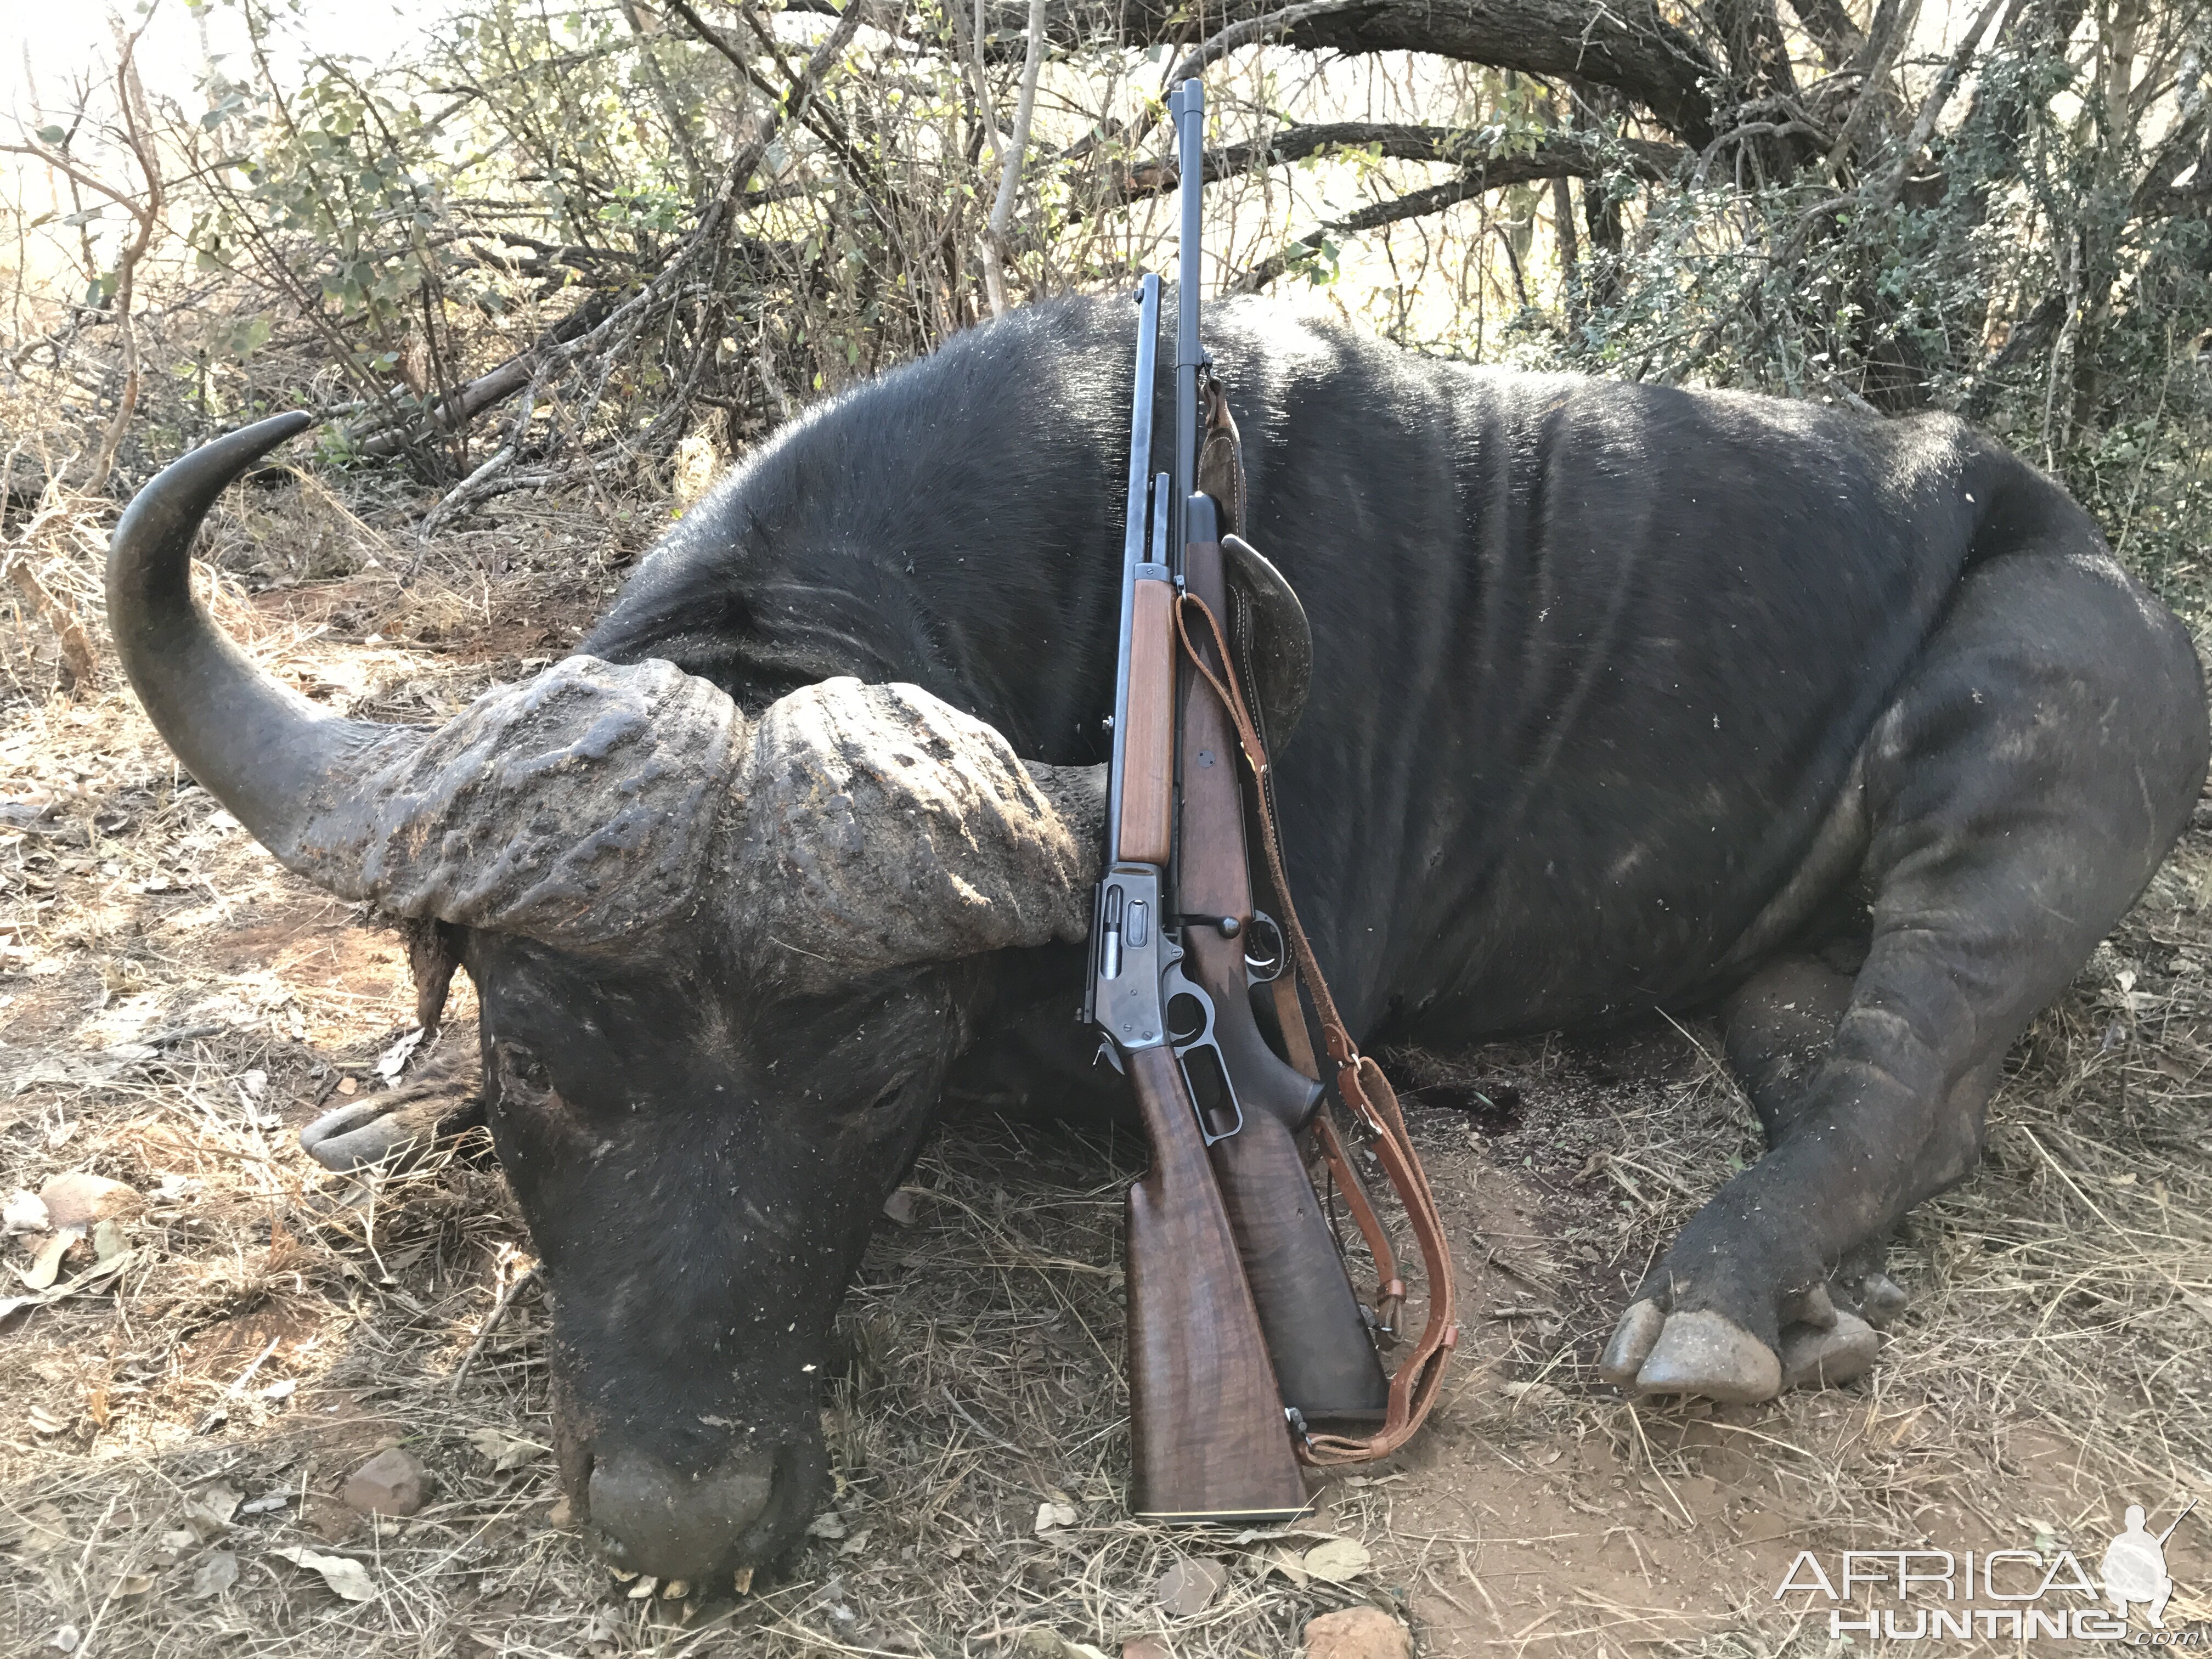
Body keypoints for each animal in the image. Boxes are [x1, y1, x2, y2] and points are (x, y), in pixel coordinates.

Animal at [108, 296, 2212, 1583]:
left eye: (881, 1077)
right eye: (540, 1050)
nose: (683, 1515)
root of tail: (2090, 561)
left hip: (2024, 765)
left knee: (1912, 1057)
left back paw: (1712, 1299)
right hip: (1773, 951)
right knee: (1890, 1091)